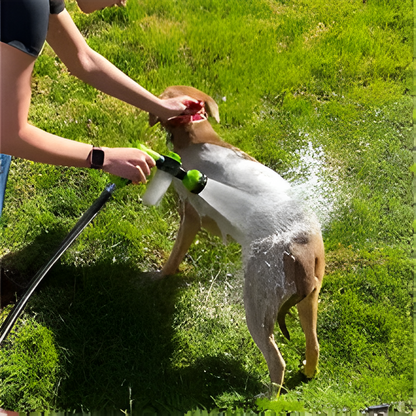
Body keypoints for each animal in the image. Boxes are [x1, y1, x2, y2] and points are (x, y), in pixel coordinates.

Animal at [146, 86, 324, 392]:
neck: (199, 137)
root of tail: (302, 252)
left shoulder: (190, 217)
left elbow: (174, 257)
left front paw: (158, 277)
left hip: (258, 303)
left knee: (277, 361)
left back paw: (268, 396)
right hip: (309, 299)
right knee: (313, 345)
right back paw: (307, 372)